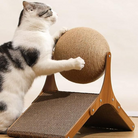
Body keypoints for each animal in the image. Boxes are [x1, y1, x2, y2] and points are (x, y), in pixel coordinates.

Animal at [0, 0, 85, 133]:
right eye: (49, 9)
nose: (57, 13)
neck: (38, 32)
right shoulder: (41, 64)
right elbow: (61, 64)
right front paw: (76, 63)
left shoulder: (48, 44)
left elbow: (52, 39)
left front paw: (61, 30)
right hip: (12, 107)